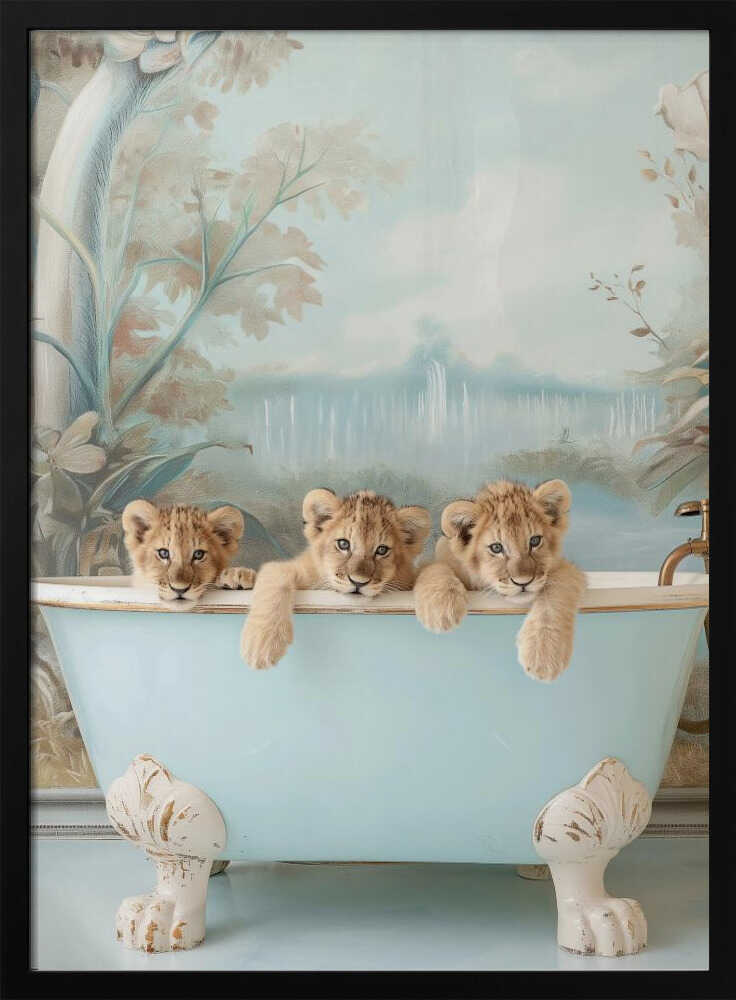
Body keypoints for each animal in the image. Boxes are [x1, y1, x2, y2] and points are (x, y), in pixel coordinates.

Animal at [240, 488, 431, 670]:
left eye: (382, 550)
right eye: (343, 544)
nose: (358, 582)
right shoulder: (291, 568)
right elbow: (276, 578)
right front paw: (261, 645)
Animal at [414, 479, 586, 681]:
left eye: (535, 541)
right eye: (496, 548)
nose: (523, 582)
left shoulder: (566, 568)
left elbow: (557, 592)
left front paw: (544, 654)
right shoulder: (429, 561)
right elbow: (435, 567)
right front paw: (441, 611)